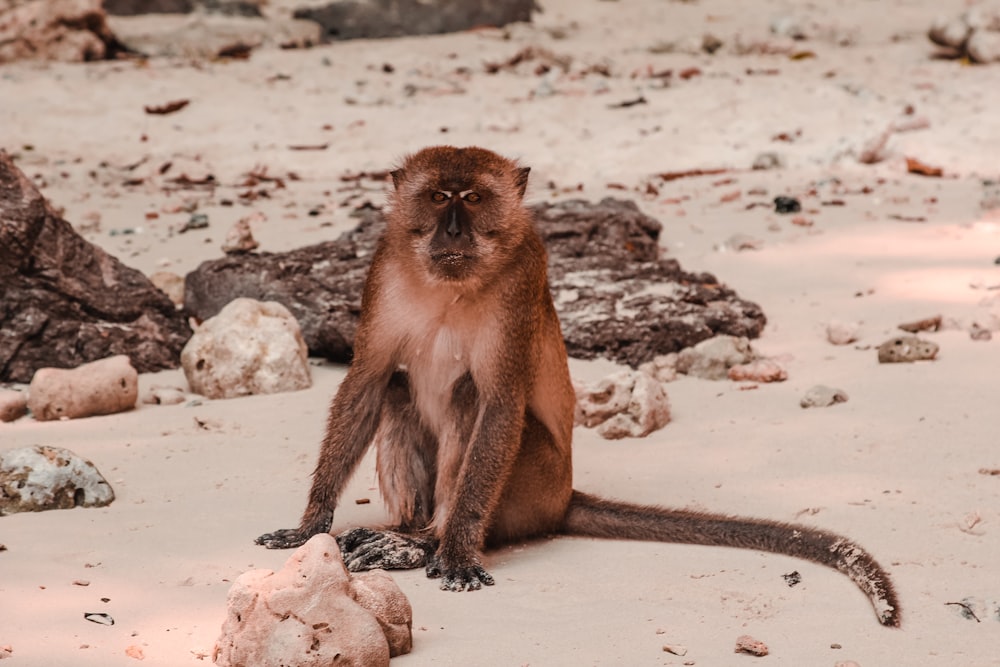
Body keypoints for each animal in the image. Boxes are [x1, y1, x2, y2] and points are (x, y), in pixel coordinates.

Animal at [256, 145, 900, 628]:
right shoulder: (385, 266)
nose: (454, 229)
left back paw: (426, 542)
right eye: (439, 197)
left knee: (469, 397)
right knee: (395, 386)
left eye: (474, 198)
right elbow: (367, 381)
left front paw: (456, 548)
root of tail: (565, 495)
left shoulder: (522, 274)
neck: (451, 283)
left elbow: (498, 403)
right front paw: (312, 524)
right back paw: (409, 533)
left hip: (530, 487)